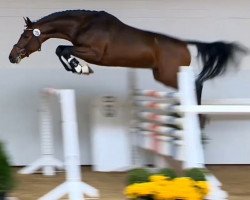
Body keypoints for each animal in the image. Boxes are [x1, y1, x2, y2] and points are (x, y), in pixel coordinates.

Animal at [8, 9, 247, 104]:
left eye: (25, 35)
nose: (11, 56)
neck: (83, 24)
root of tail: (185, 44)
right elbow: (60, 50)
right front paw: (78, 68)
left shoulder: (94, 53)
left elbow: (62, 49)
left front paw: (80, 68)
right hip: (162, 75)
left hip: (170, 75)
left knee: (196, 84)